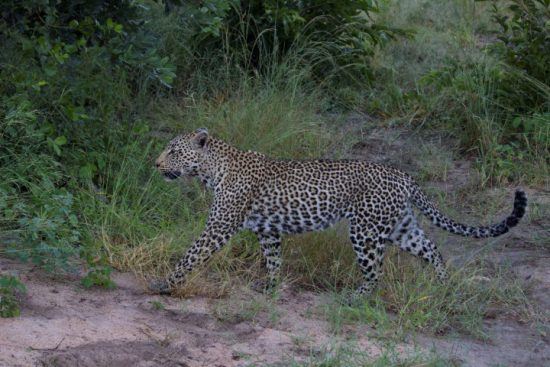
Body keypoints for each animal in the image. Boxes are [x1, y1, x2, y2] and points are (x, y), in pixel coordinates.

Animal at [149, 128, 528, 298]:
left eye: (173, 151)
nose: (155, 164)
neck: (212, 169)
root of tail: (404, 176)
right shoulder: (267, 230)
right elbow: (273, 258)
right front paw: (270, 286)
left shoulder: (220, 225)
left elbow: (192, 254)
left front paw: (164, 284)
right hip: (399, 226)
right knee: (431, 248)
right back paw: (442, 285)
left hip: (365, 231)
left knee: (376, 270)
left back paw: (357, 296)